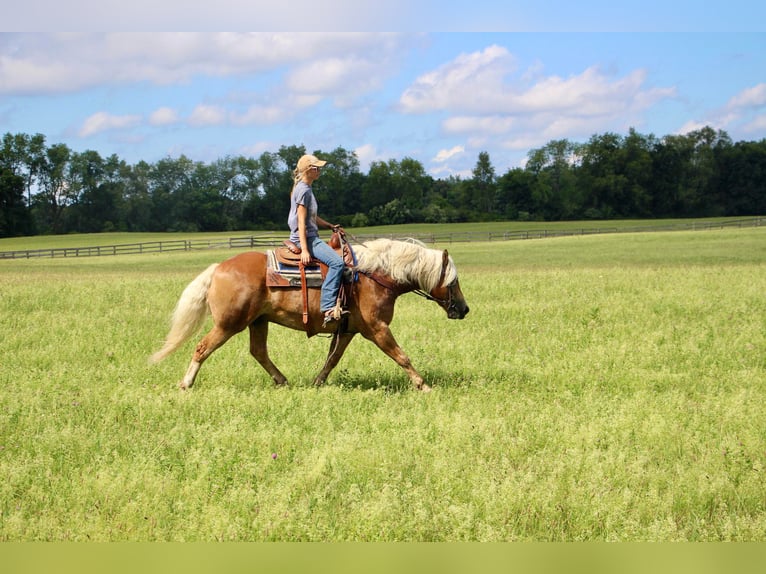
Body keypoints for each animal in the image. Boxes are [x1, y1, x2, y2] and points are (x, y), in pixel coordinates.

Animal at [152, 237, 468, 392]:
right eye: (453, 281)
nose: (464, 309)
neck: (374, 275)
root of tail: (218, 267)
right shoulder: (378, 329)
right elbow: (402, 356)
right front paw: (423, 385)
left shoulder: (348, 330)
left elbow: (332, 360)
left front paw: (318, 383)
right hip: (230, 324)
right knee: (202, 348)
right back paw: (186, 384)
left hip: (257, 322)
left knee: (258, 351)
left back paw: (282, 381)